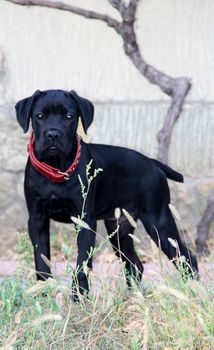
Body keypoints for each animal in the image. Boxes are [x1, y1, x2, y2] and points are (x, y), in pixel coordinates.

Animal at [15, 90, 199, 296]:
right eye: (39, 116)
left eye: (69, 117)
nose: (53, 134)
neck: (56, 168)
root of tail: (152, 163)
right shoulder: (37, 219)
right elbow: (41, 260)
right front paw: (44, 293)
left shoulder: (85, 220)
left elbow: (82, 263)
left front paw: (79, 297)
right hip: (119, 228)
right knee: (135, 265)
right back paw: (132, 298)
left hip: (159, 222)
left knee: (186, 258)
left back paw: (193, 293)